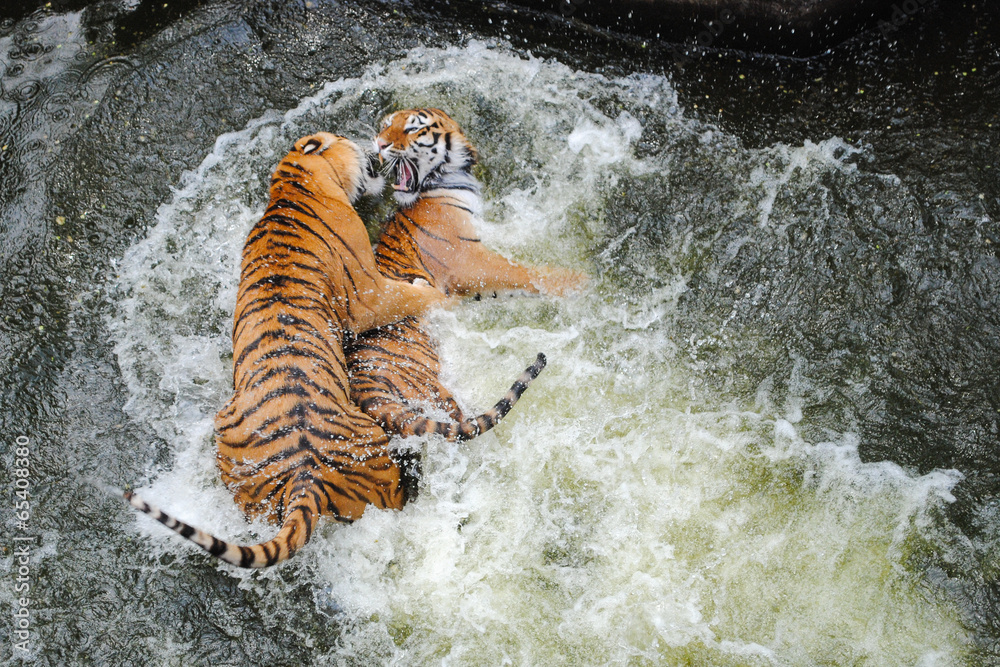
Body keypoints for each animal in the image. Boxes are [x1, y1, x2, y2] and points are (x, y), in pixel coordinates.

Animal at [124, 132, 454, 568]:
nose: (375, 147)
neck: (290, 187)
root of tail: (304, 478)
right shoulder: (369, 293)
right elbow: (414, 295)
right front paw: (434, 291)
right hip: (378, 462)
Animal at [345, 108, 587, 450]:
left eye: (410, 128)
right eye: (387, 126)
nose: (379, 144)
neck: (445, 180)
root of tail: (362, 387)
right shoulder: (468, 261)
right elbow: (522, 272)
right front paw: (581, 282)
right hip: (434, 388)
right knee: (467, 424)